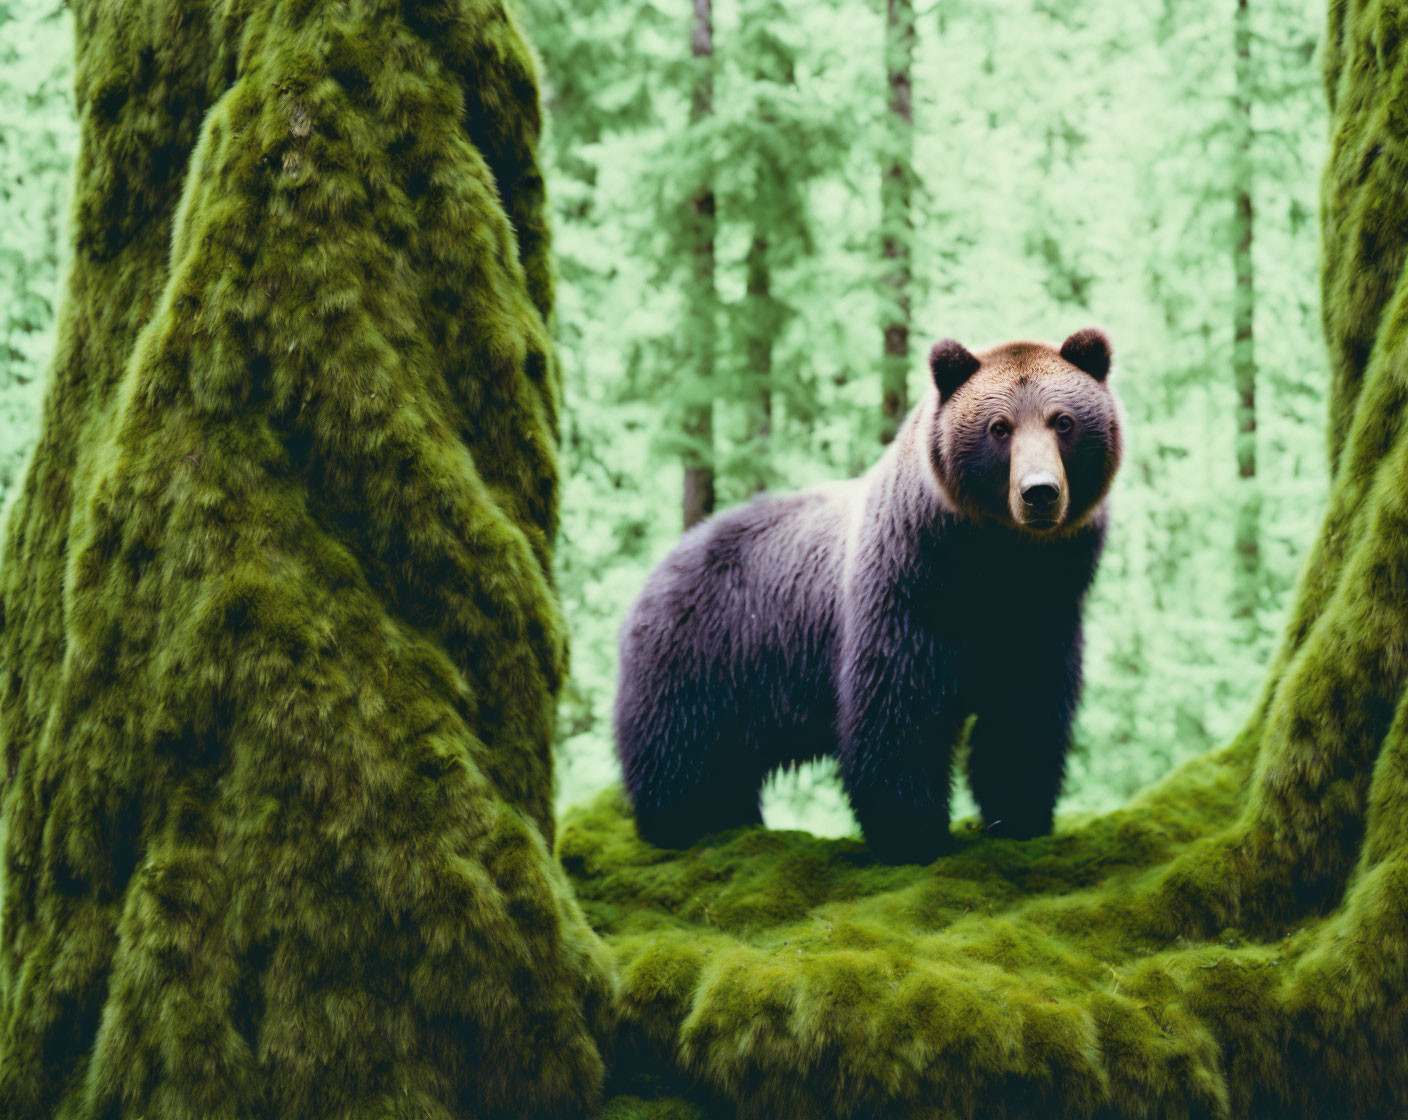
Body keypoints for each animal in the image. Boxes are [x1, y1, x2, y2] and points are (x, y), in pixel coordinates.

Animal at [616, 328, 1120, 862]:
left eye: (1062, 420)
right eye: (998, 427)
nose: (1039, 492)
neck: (991, 563)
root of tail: (658, 569)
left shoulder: (1045, 611)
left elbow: (1026, 711)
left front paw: (1021, 817)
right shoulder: (905, 595)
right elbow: (897, 716)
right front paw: (912, 834)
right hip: (701, 658)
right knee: (680, 752)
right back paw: (683, 825)